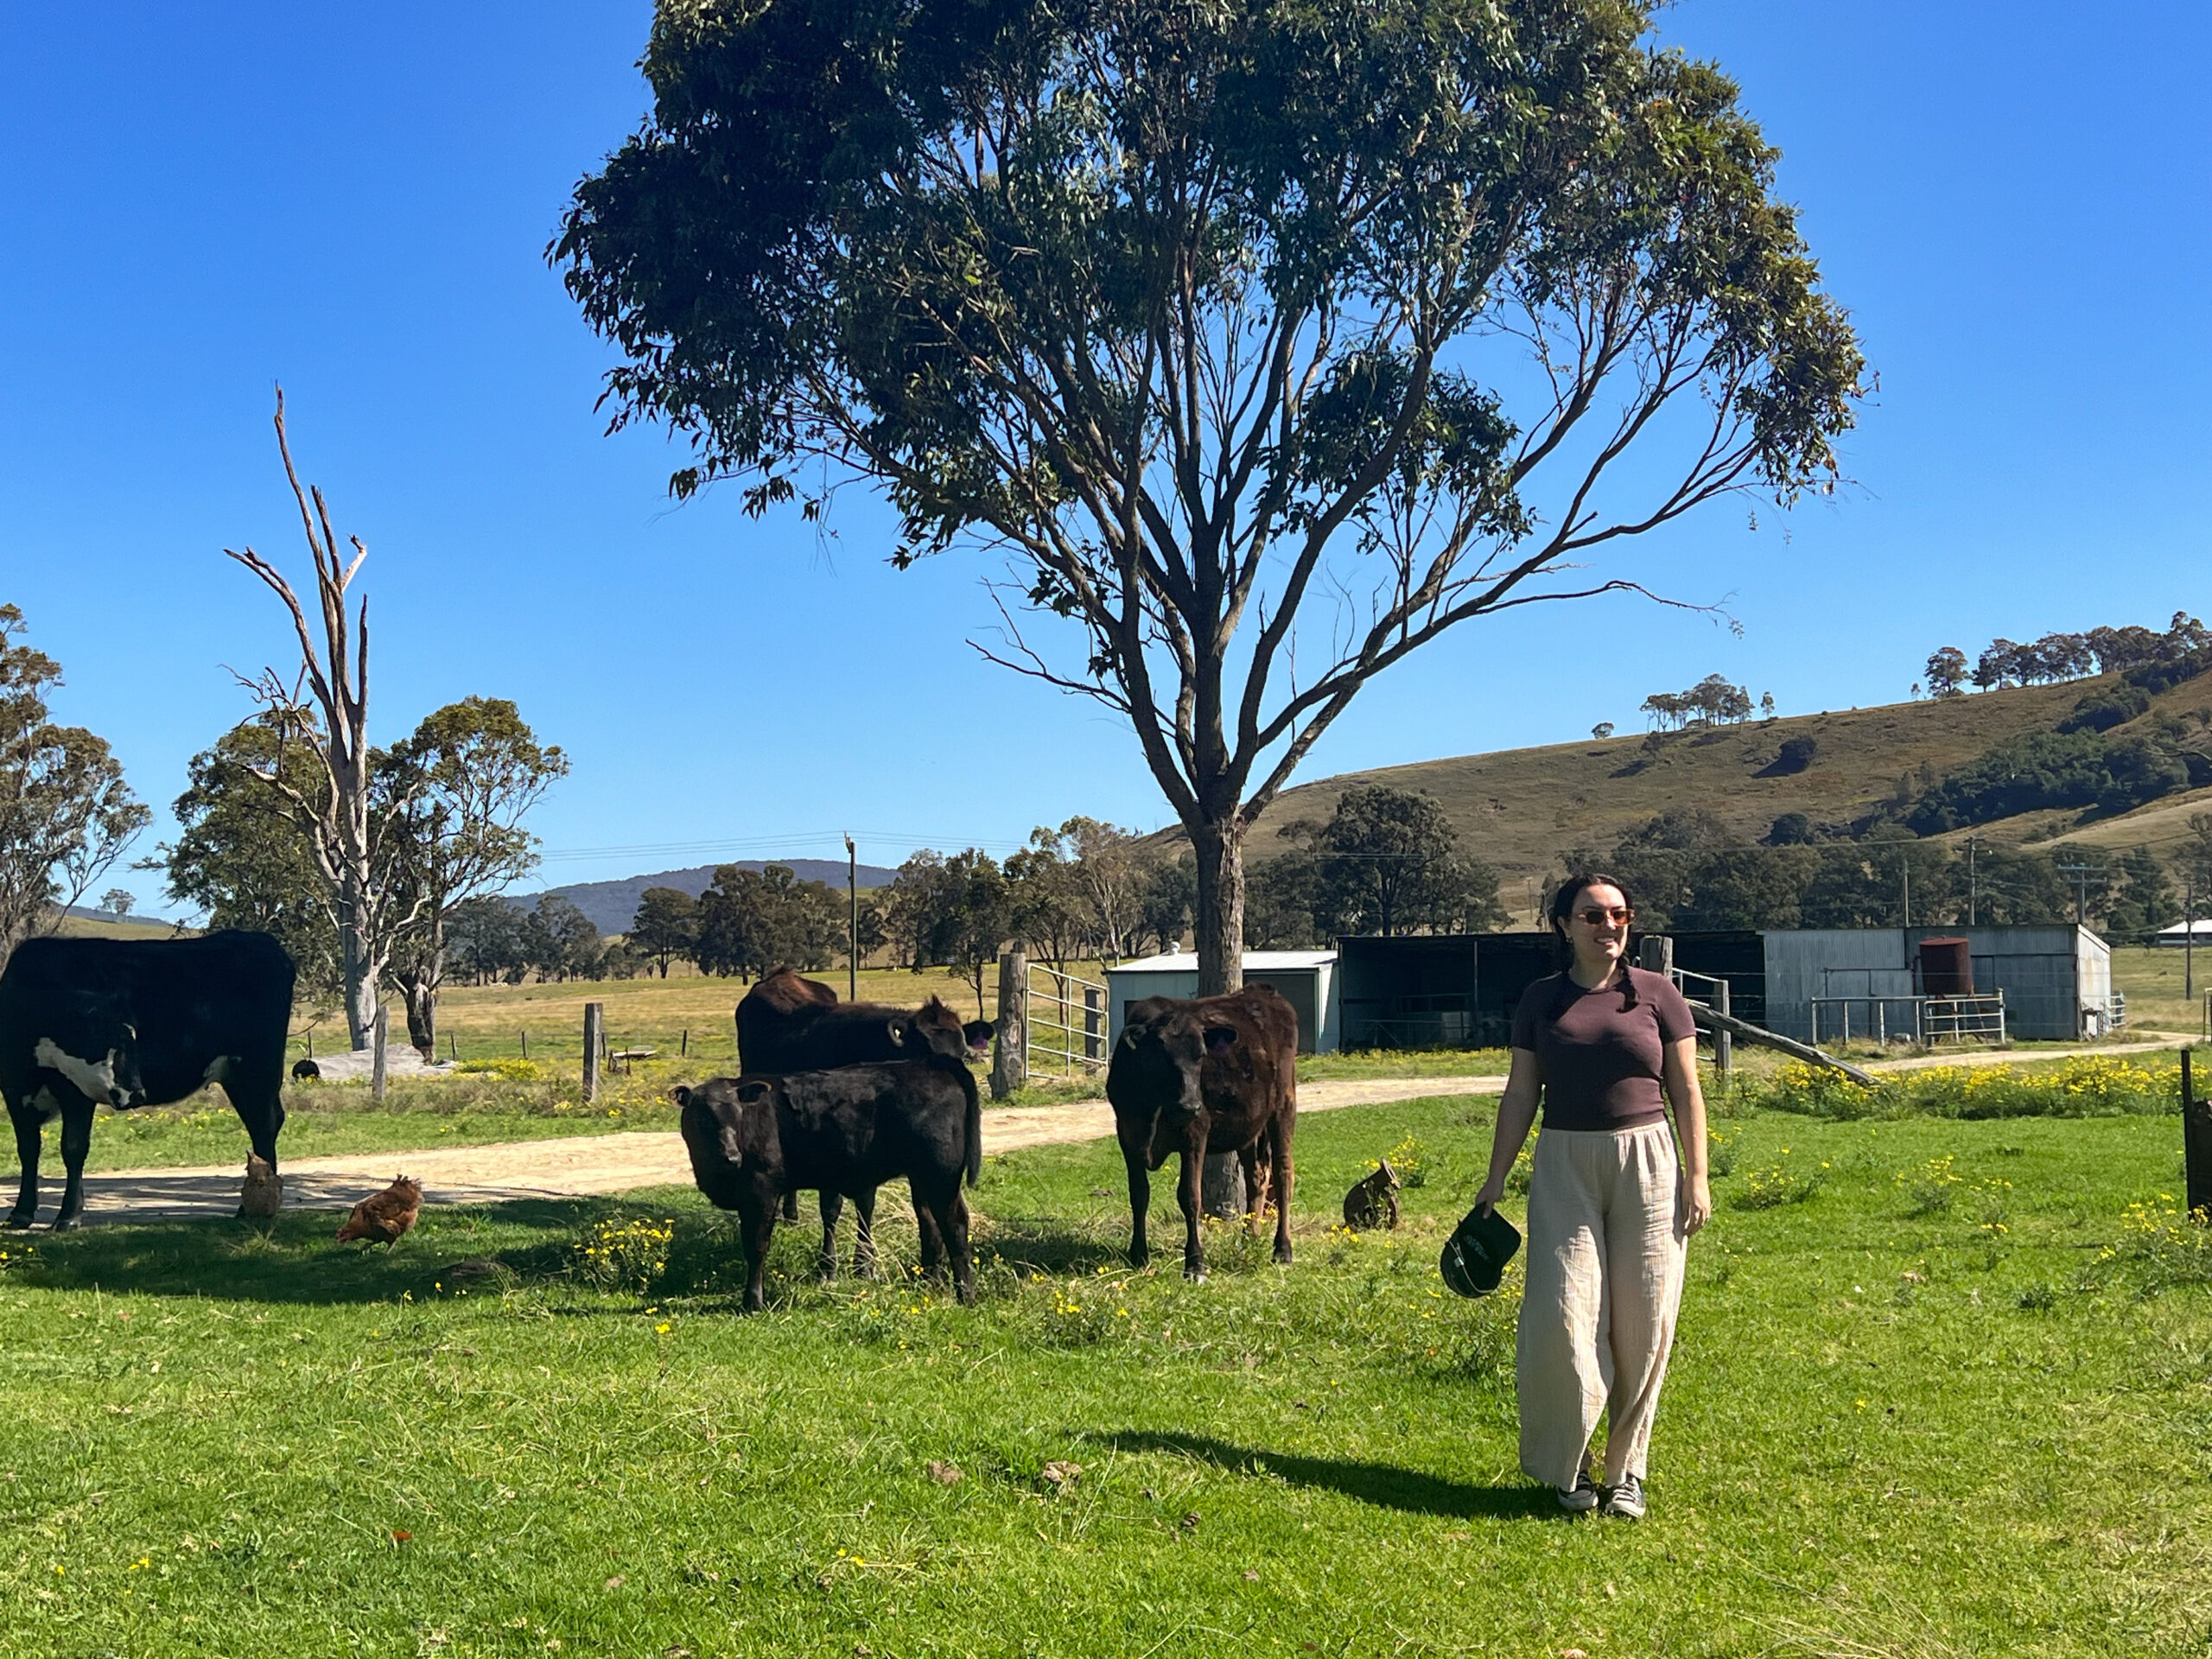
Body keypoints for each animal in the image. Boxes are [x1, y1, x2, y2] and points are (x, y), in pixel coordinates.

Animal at [1, 938, 298, 1238]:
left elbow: (73, 1148)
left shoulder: (76, 1094)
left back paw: (252, 1209)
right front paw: (20, 1213)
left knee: (264, 1125)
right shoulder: (14, 1093)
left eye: (132, 1042)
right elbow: (28, 1149)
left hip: (257, 1071)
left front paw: (68, 1217)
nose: (136, 1094)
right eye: (105, 1040)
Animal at [677, 1013, 982, 1309]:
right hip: (922, 1177)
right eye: (702, 1117)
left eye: (738, 1114)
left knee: (954, 1222)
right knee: (929, 1223)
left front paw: (753, 1301)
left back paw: (965, 1294)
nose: (731, 1156)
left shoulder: (762, 1189)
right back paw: (931, 1284)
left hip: (941, 1175)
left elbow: (756, 1246)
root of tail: (933, 1064)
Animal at [739, 969, 990, 1265]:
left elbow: (867, 1203)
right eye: (924, 1051)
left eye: (962, 1052)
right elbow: (832, 1205)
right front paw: (830, 1260)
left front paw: (864, 1260)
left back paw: (791, 1214)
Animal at [1106, 986, 1292, 1282]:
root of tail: (1262, 990)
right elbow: (1139, 1194)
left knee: (1283, 1173)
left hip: (1283, 1106)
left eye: (1202, 1055)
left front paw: (1195, 1264)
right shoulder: (1127, 1135)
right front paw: (1138, 1255)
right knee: (1256, 1178)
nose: (1190, 1104)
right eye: (1161, 1056)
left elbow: (1191, 1196)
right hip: (1249, 1129)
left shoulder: (1195, 1134)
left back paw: (1283, 1249)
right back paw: (1248, 1241)